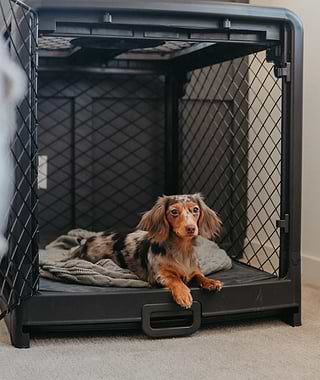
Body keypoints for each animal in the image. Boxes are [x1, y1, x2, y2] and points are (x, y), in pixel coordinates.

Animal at [80, 193, 222, 308]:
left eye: (195, 209)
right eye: (174, 211)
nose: (191, 228)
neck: (181, 250)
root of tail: (87, 240)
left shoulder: (193, 270)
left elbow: (200, 276)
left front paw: (211, 282)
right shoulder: (159, 275)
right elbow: (175, 279)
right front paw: (183, 294)